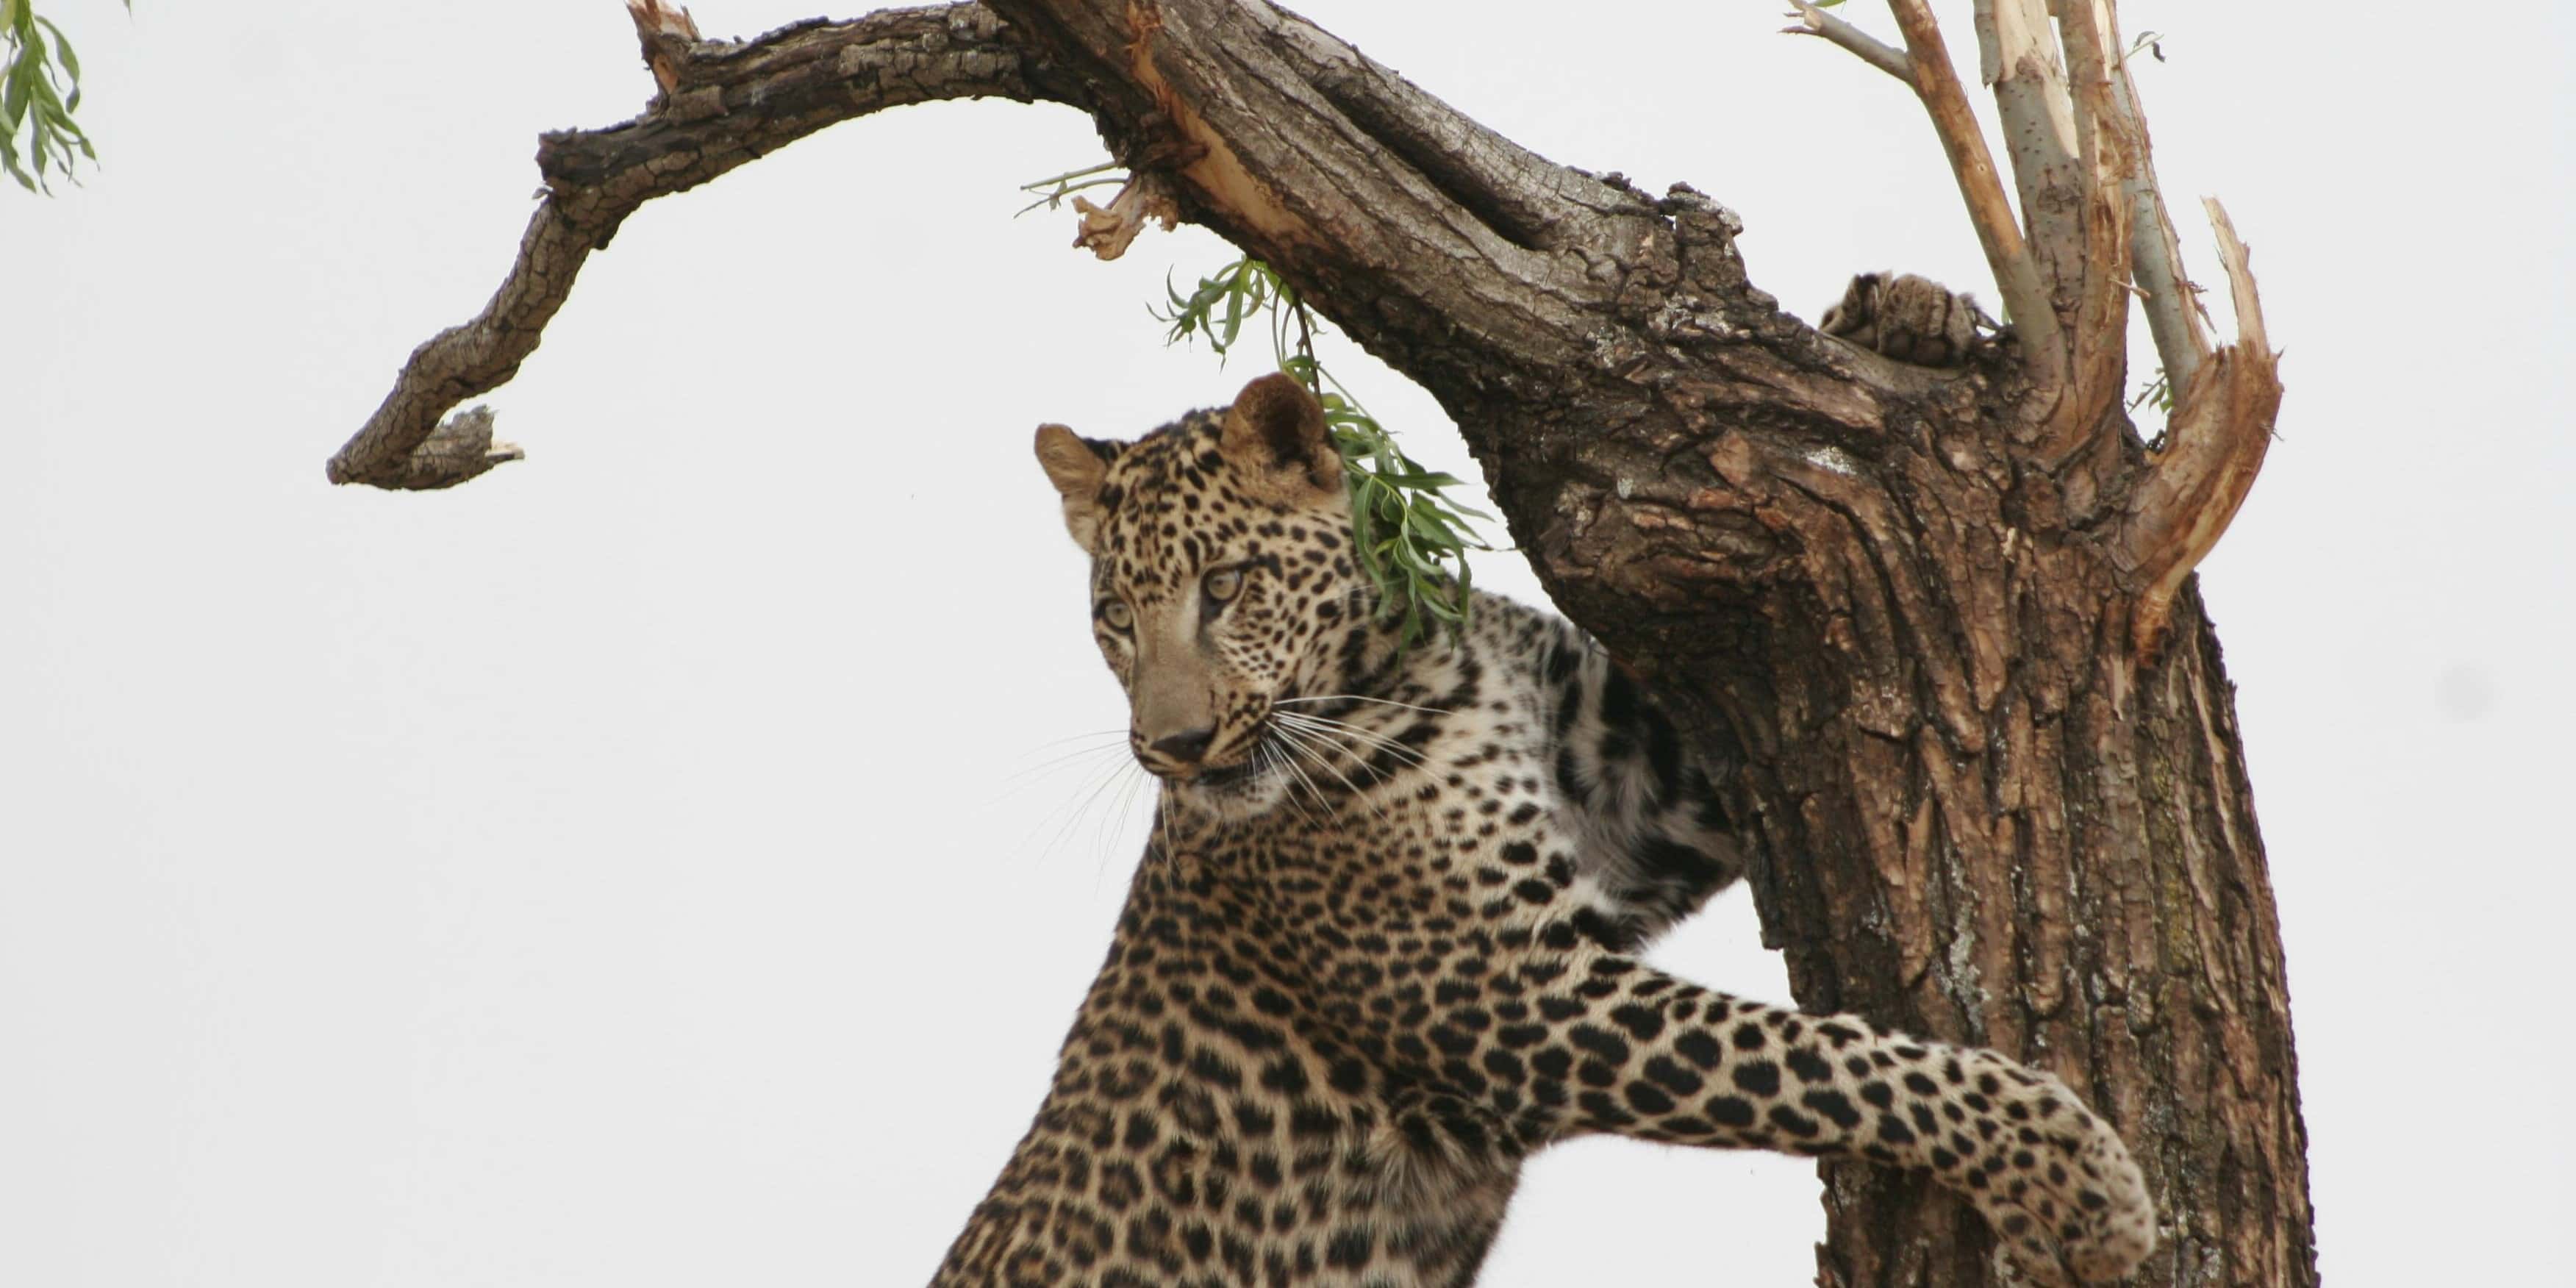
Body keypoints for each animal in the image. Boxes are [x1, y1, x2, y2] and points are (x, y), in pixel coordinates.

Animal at [930, 373, 2156, 1287]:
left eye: (1227, 586)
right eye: (1114, 620)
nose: (1172, 748)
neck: (1420, 664)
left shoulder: (1642, 800)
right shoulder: (1521, 999)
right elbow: (1827, 1062)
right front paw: (2076, 1177)